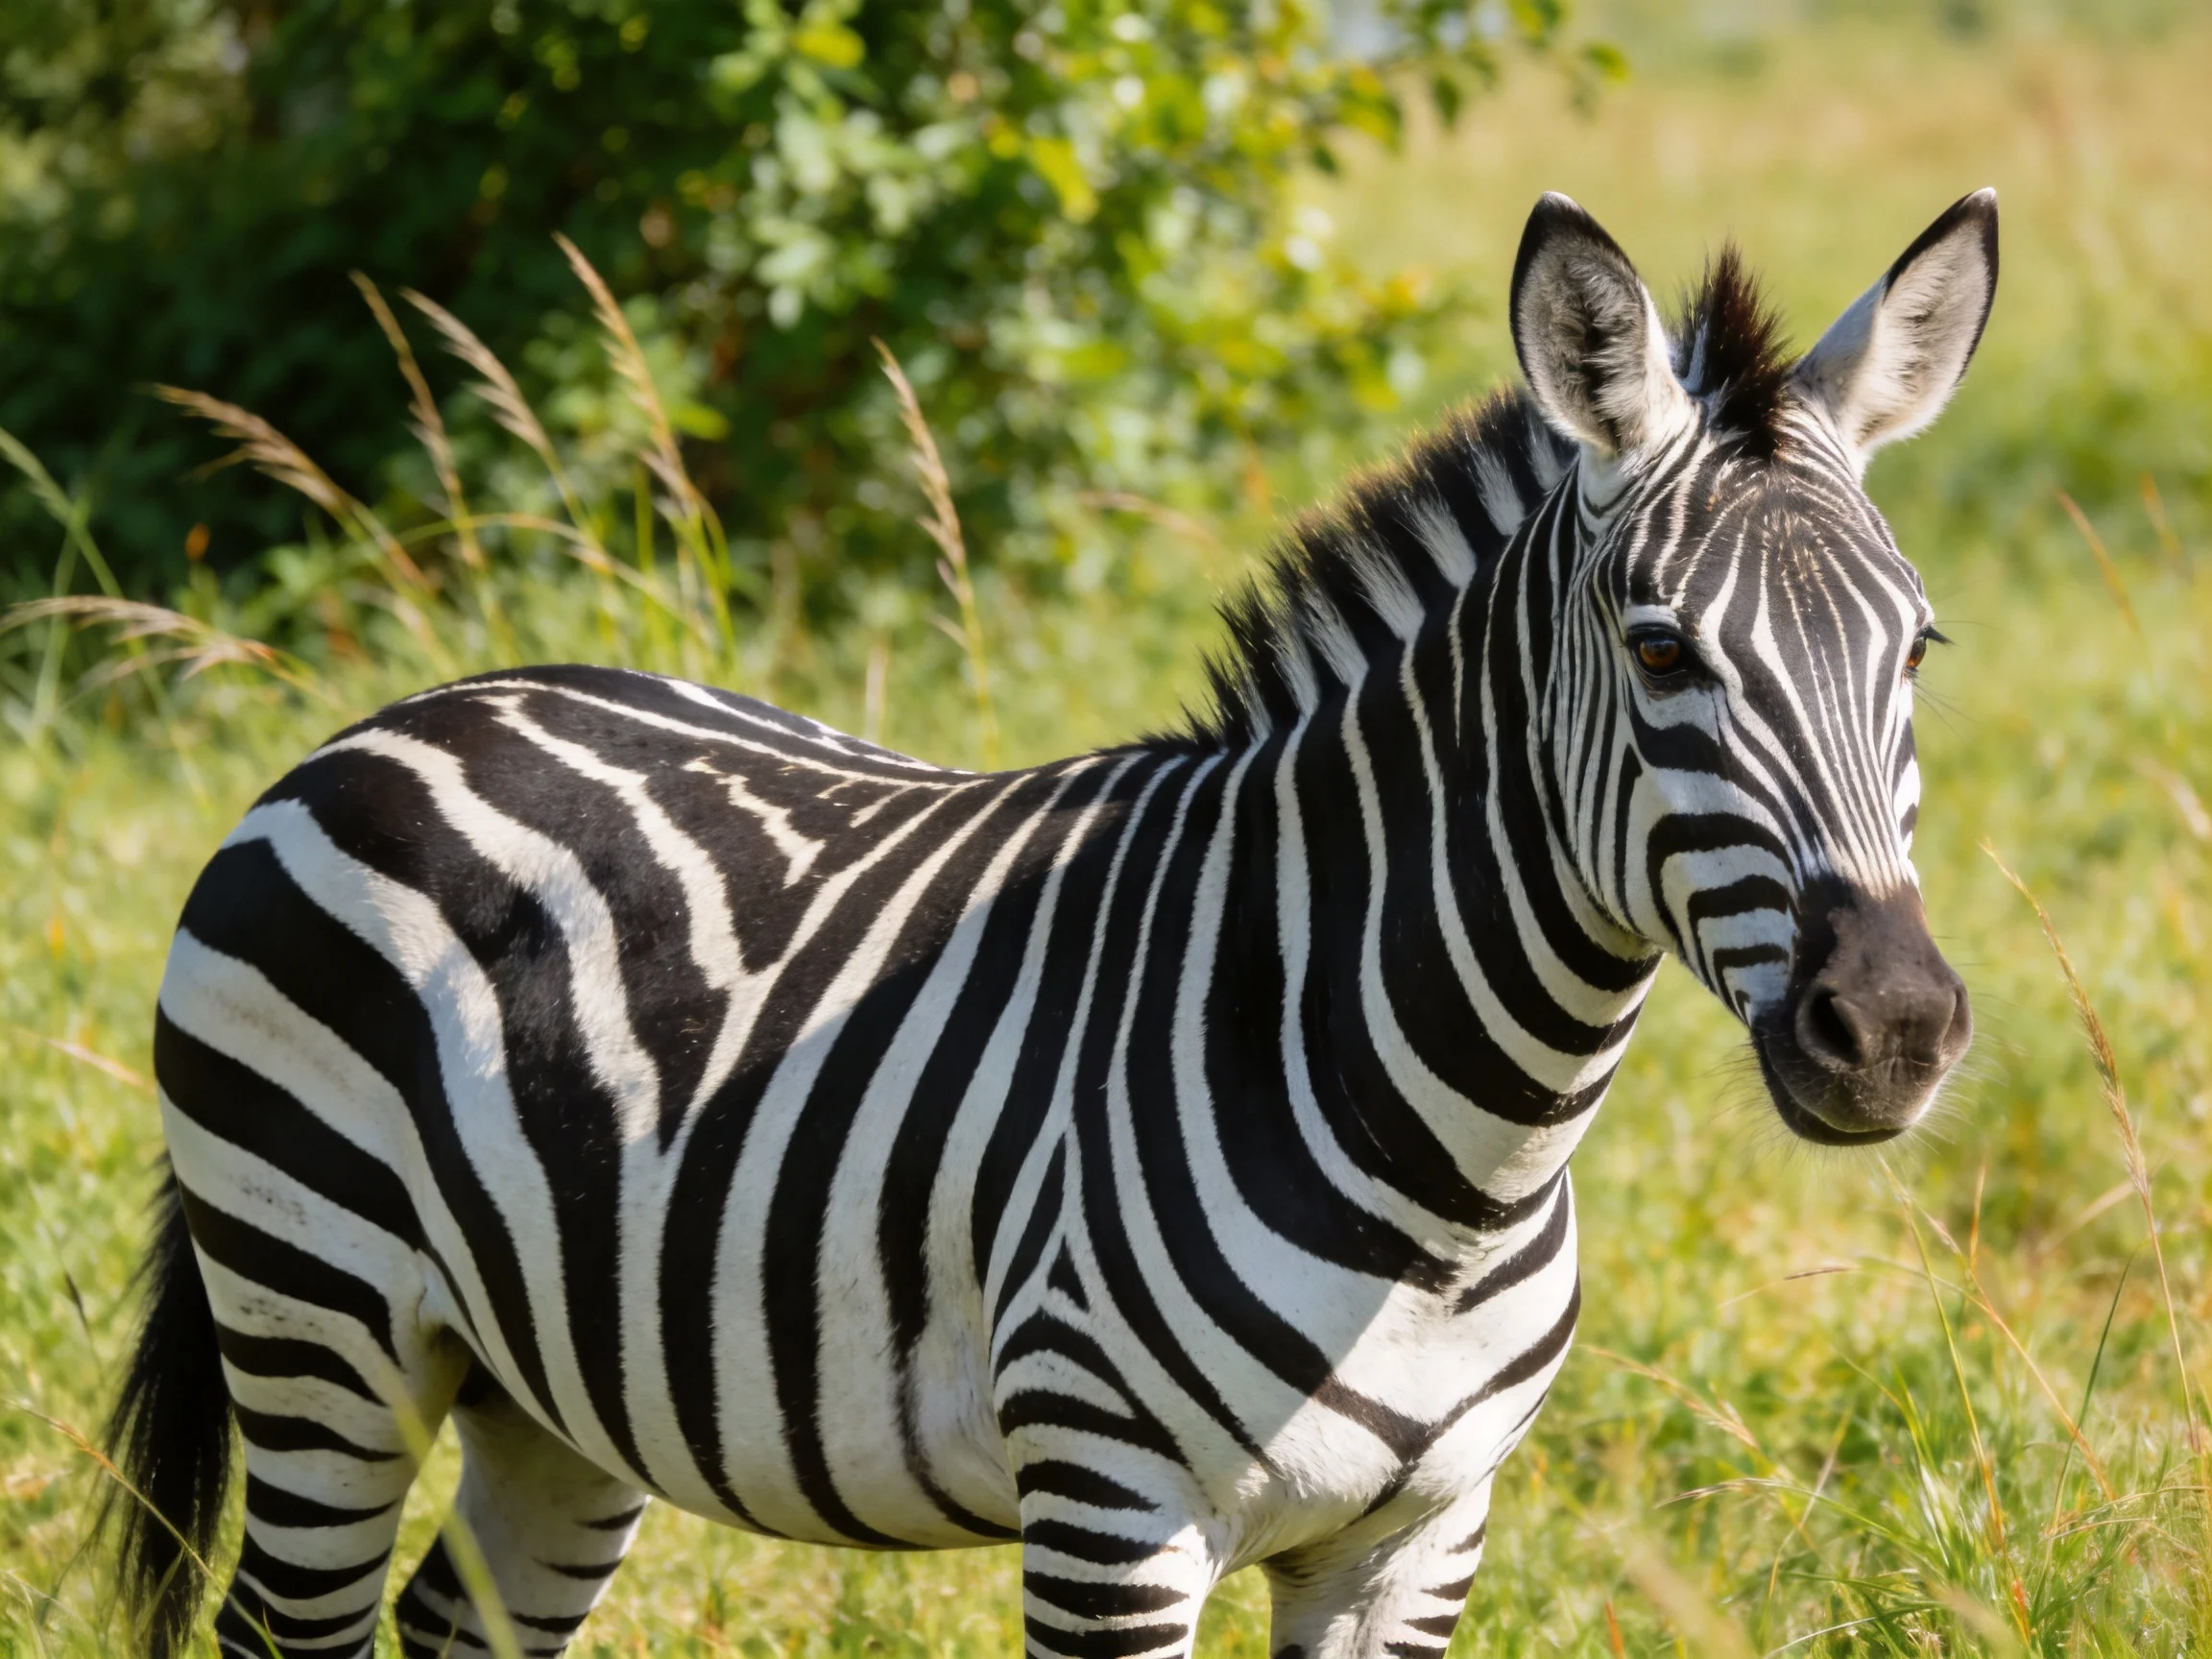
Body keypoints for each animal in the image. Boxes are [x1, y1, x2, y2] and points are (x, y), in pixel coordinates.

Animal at [108, 187, 1993, 1658]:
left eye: (1918, 648)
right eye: (1663, 651)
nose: (1892, 1026)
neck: (1456, 1158)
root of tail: (408, 713)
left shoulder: (1418, 1536)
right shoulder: (1109, 1510)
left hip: (551, 1394)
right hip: (319, 1319)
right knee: (288, 1620)